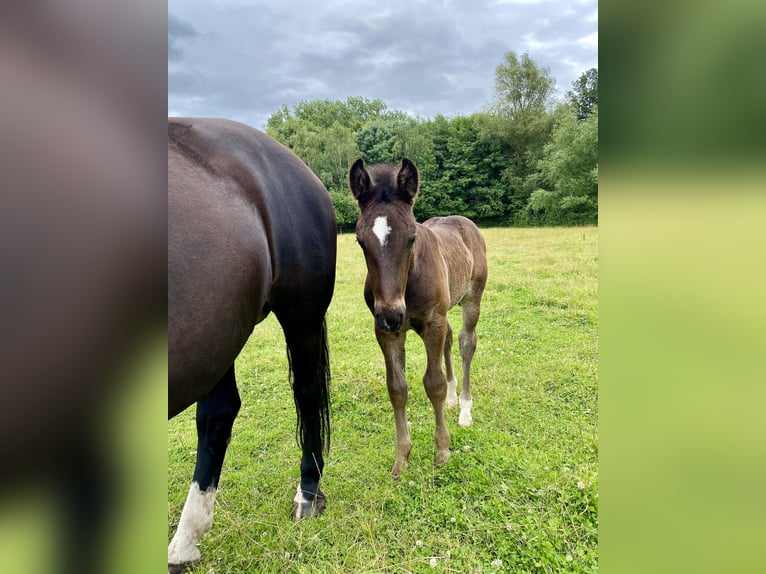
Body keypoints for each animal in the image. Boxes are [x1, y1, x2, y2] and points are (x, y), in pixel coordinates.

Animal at [168, 119, 336, 572]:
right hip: (215, 336)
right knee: (218, 414)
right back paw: (186, 540)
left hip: (300, 315)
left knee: (307, 395)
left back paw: (308, 493)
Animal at [348, 156, 486, 476]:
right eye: (360, 241)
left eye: (411, 238)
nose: (391, 313)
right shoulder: (387, 331)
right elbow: (397, 388)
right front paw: (402, 457)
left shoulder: (432, 322)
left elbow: (433, 383)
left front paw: (443, 451)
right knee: (450, 340)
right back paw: (453, 398)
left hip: (472, 299)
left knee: (466, 343)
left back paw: (465, 408)